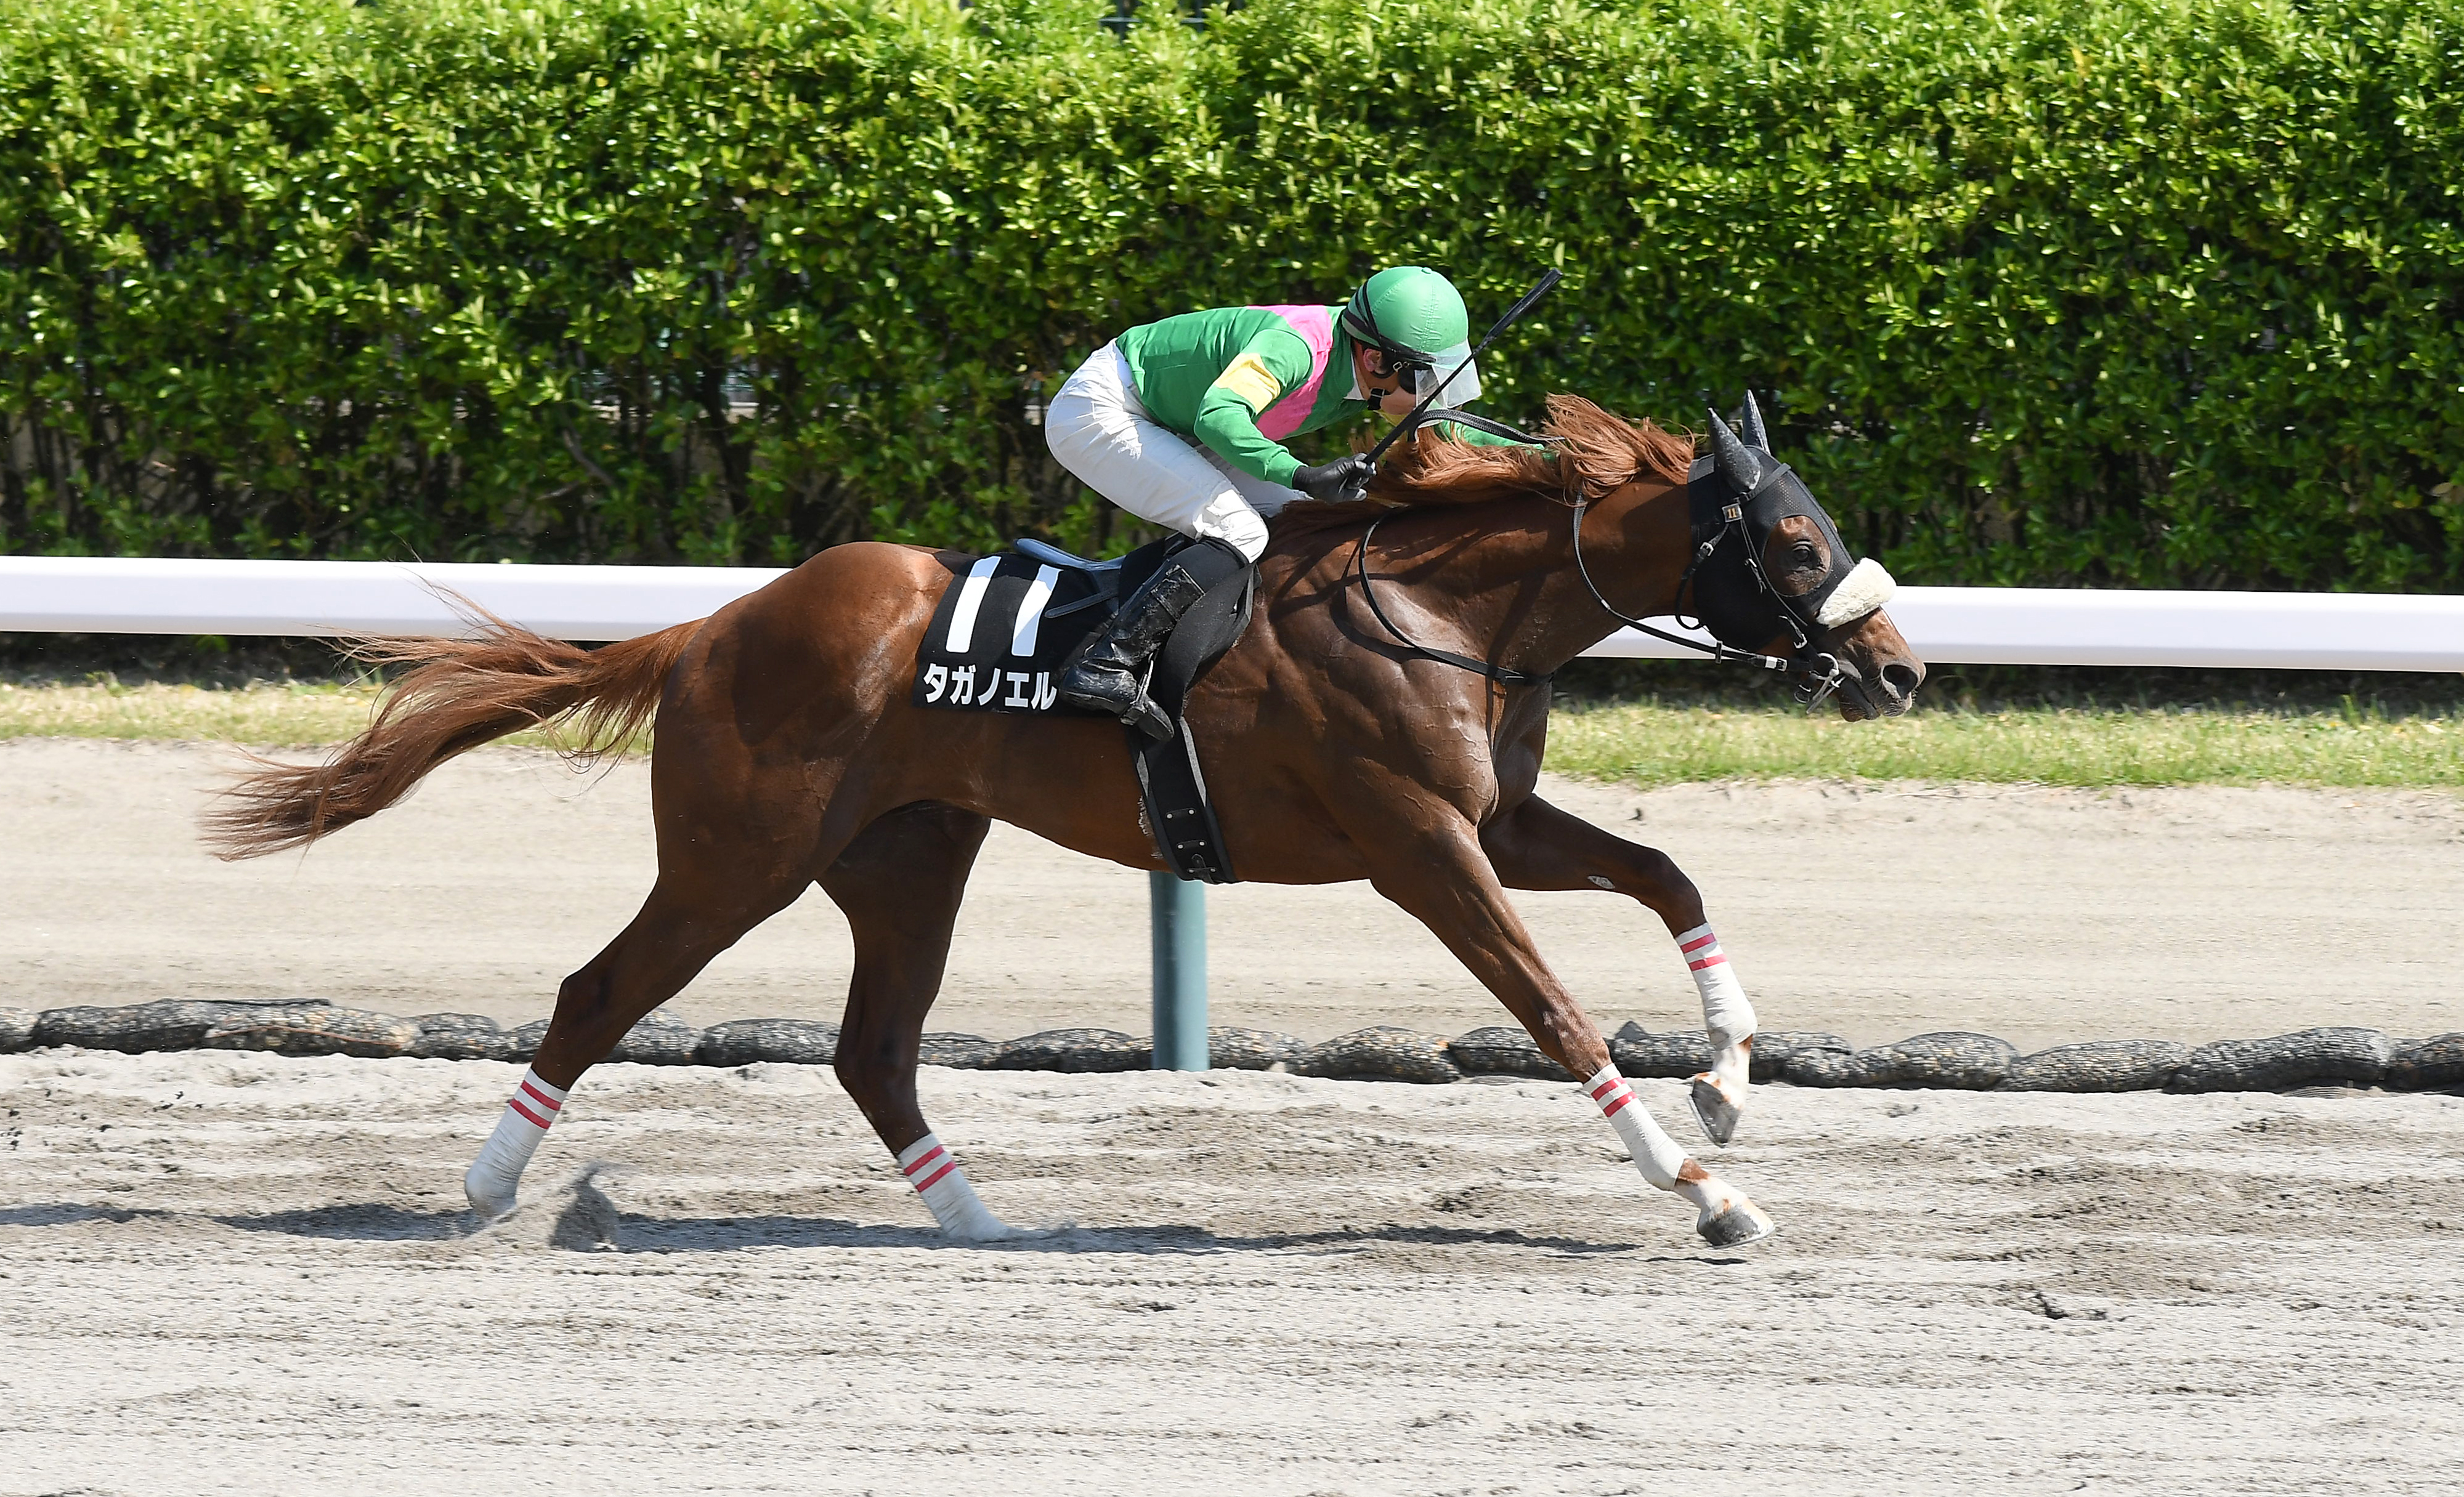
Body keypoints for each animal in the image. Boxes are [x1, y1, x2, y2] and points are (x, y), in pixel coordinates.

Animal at [205, 395, 1924, 1248]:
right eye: (1788, 537)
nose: (1898, 667)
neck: (1443, 607)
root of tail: (713, 625)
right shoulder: (1420, 851)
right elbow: (1559, 1015)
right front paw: (1706, 1193)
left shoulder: (1491, 823)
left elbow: (1666, 870)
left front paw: (1727, 1082)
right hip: (737, 856)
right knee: (597, 992)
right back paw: (487, 1188)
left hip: (907, 858)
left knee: (872, 1050)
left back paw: (976, 1219)